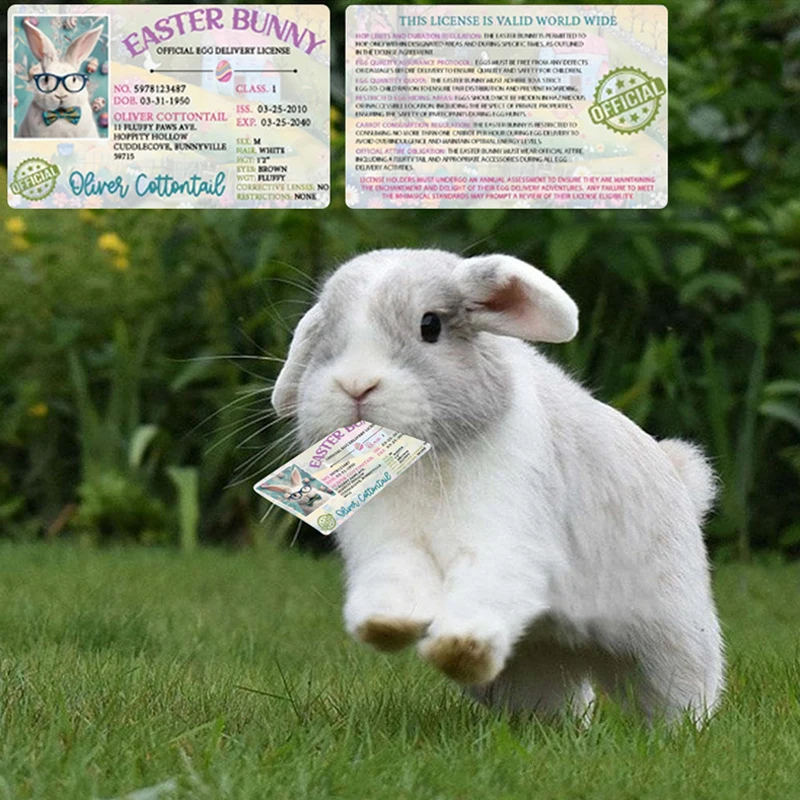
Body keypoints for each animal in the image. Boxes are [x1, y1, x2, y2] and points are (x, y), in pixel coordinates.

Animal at [271, 249, 724, 726]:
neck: (429, 460)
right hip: (535, 670)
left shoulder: (505, 547)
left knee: (679, 691)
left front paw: (459, 651)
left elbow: (485, 589)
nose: (355, 384)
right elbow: (393, 585)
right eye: (326, 332)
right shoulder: (392, 549)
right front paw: (385, 627)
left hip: (671, 639)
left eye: (430, 325)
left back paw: (684, 729)